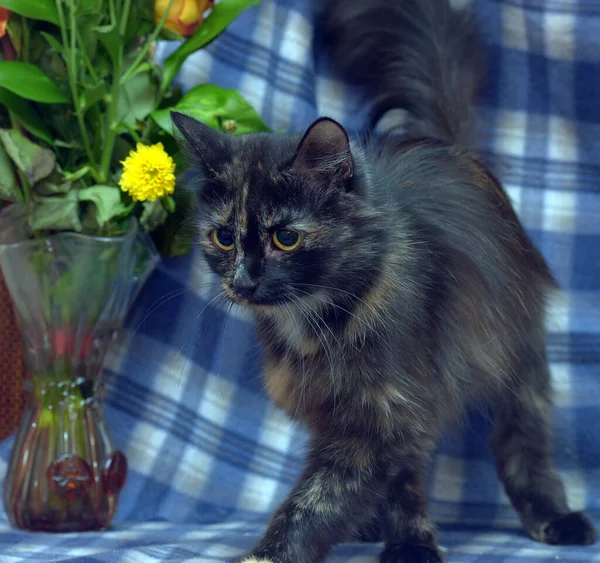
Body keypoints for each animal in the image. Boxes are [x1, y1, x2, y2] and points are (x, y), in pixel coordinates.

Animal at [171, 0, 596, 560]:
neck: (321, 316)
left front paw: (274, 552)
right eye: (223, 237)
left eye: (286, 238)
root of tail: (449, 147)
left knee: (524, 442)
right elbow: (382, 481)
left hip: (517, 360)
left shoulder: (384, 411)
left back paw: (550, 519)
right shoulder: (366, 409)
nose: (242, 281)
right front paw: (396, 534)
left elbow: (316, 500)